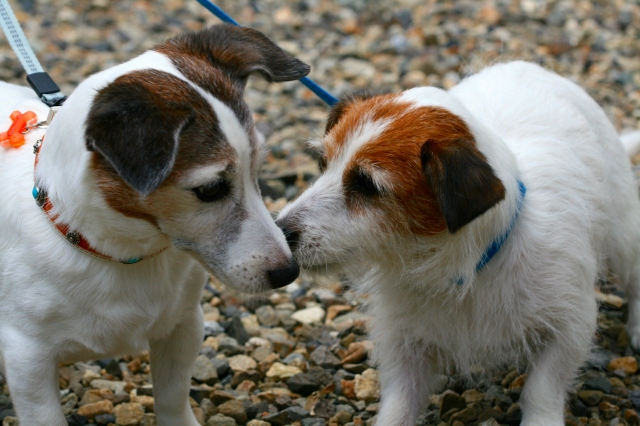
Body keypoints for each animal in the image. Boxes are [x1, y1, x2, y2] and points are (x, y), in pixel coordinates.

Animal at [0, 25, 308, 424]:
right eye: (211, 189)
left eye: (258, 170)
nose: (288, 272)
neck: (120, 253)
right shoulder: (28, 359)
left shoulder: (182, 324)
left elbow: (173, 396)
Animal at [278, 60, 640, 426]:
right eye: (323, 164)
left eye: (366, 184)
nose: (280, 231)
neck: (466, 266)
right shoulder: (404, 346)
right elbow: (399, 402)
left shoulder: (569, 326)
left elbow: (541, 389)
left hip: (623, 235)